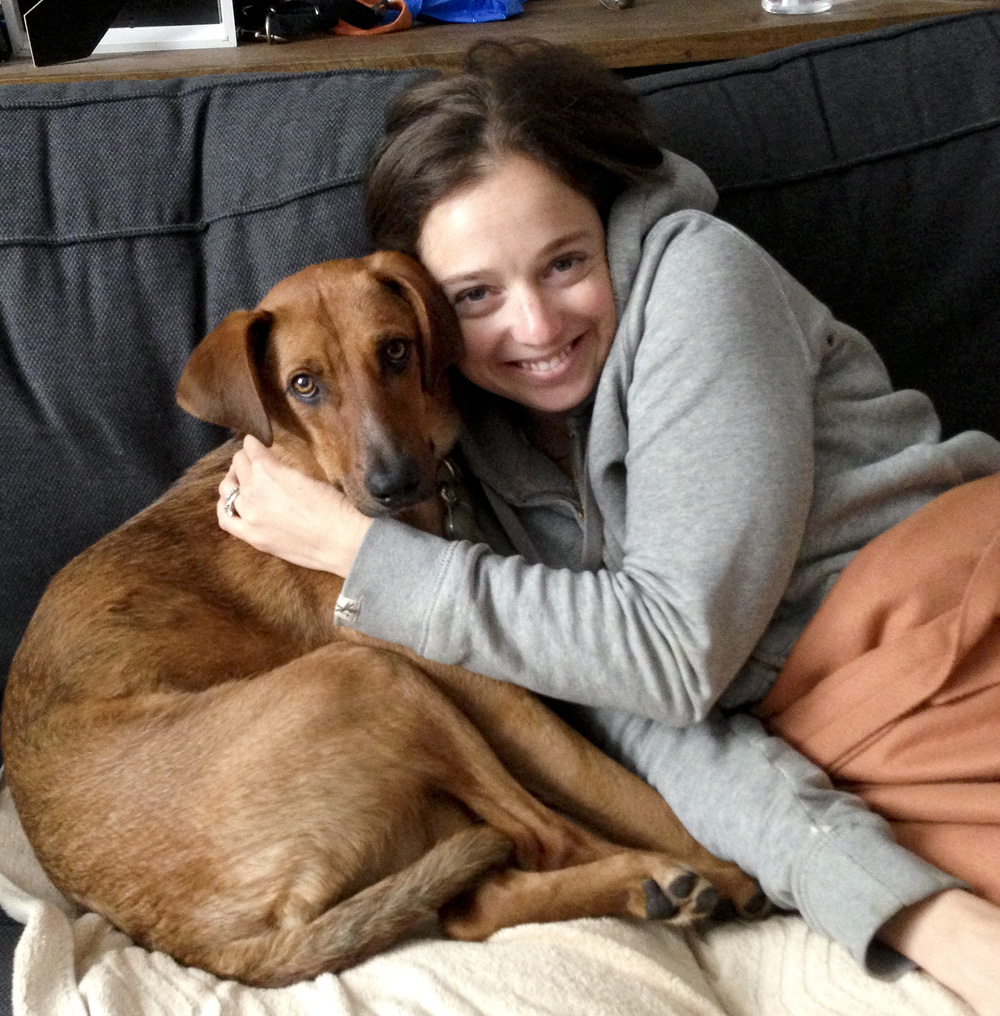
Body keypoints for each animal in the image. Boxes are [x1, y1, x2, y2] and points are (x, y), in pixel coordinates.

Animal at [3, 251, 760, 983]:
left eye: (396, 350)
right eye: (303, 385)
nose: (394, 484)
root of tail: (211, 948)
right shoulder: (493, 697)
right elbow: (623, 791)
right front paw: (723, 861)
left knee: (474, 906)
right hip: (371, 676)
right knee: (546, 839)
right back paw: (682, 880)